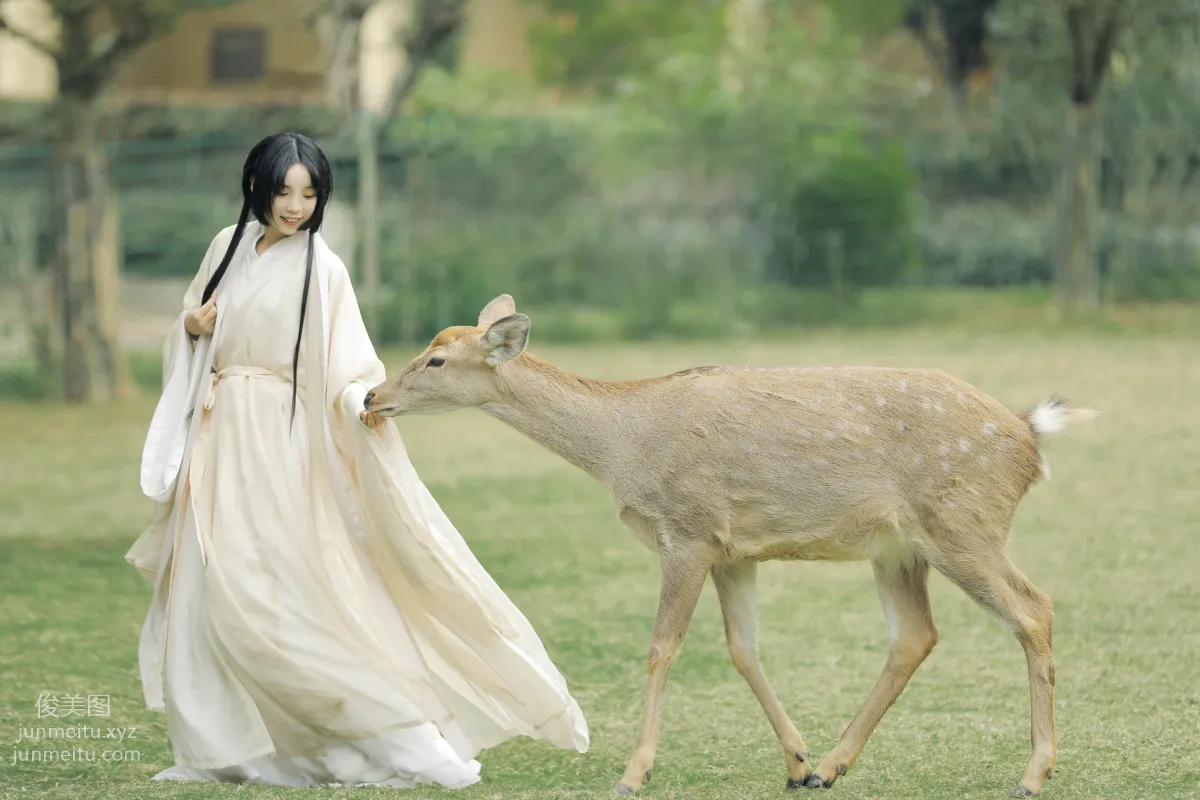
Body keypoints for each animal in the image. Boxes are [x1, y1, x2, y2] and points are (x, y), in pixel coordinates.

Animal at [363, 295, 1097, 798]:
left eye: (435, 359)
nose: (372, 394)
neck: (622, 446)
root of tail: (1030, 435)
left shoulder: (686, 529)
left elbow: (661, 648)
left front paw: (634, 772)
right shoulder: (733, 549)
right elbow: (743, 650)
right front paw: (795, 763)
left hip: (964, 523)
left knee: (1034, 608)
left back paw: (1033, 772)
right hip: (898, 549)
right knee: (915, 636)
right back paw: (832, 766)